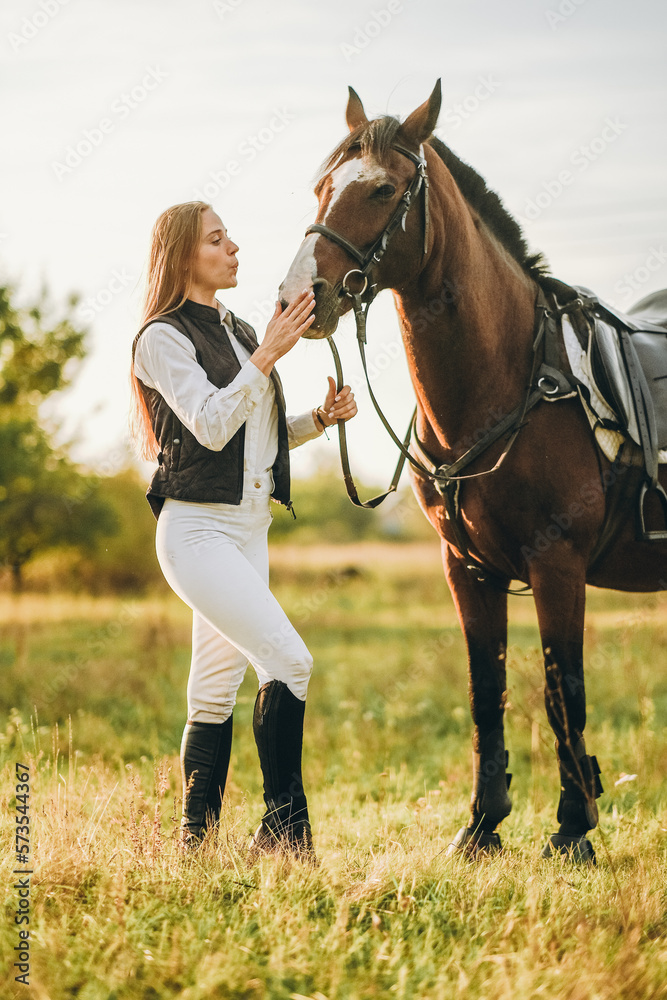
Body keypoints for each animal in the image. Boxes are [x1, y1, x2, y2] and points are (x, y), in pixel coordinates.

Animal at [278, 81, 667, 862]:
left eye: (381, 189)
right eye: (320, 187)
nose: (298, 299)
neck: (515, 376)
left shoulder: (557, 563)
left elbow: (561, 690)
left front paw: (572, 830)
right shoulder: (466, 568)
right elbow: (485, 690)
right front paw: (483, 824)